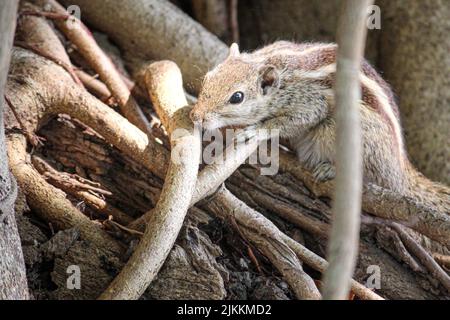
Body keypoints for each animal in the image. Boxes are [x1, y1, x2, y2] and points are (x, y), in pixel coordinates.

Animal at [190, 42, 450, 212]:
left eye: (237, 97)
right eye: (208, 77)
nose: (196, 116)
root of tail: (399, 169)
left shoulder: (309, 103)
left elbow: (293, 120)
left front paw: (256, 129)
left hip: (344, 135)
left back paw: (330, 169)